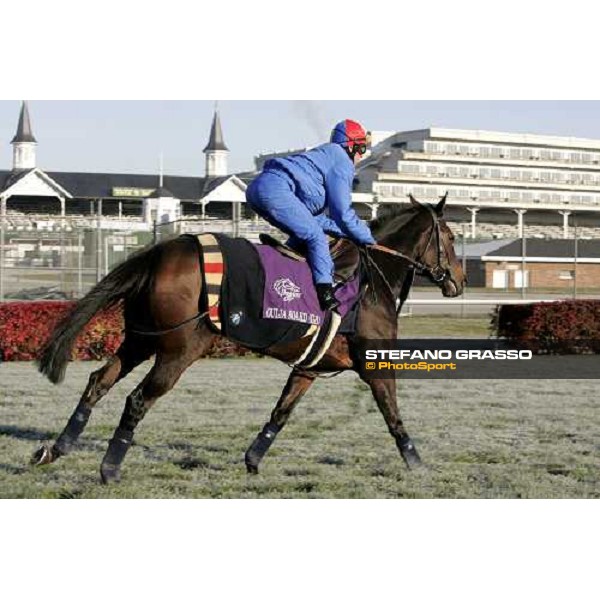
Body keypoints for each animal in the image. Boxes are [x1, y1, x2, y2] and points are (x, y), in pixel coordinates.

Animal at [32, 195, 464, 486]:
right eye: (451, 236)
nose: (458, 281)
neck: (372, 279)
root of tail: (163, 250)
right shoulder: (373, 363)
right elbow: (392, 413)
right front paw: (417, 463)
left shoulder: (310, 366)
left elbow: (281, 412)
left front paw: (253, 459)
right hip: (180, 349)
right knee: (138, 399)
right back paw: (109, 469)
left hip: (141, 339)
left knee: (99, 382)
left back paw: (57, 448)